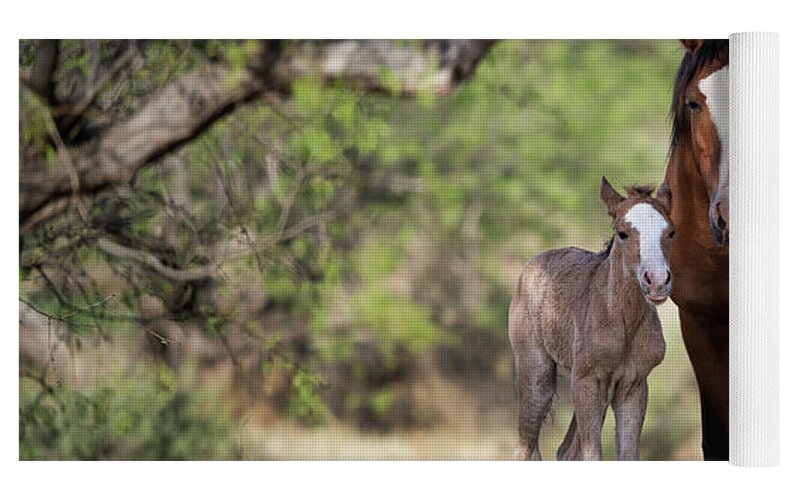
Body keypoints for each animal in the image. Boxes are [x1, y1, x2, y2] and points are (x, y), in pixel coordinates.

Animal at [510, 177, 672, 460]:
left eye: (671, 233)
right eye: (622, 233)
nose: (657, 281)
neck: (623, 321)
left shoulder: (634, 387)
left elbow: (627, 455)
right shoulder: (587, 383)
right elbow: (592, 454)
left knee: (564, 450)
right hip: (537, 375)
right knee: (525, 448)